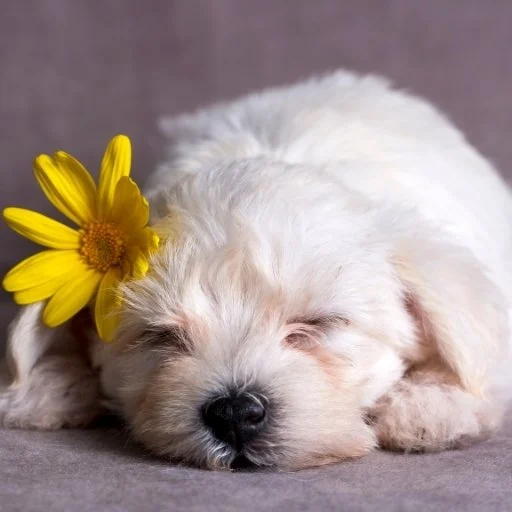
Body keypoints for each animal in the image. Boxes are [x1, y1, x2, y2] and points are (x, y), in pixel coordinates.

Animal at [1, 70, 512, 470]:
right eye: (159, 336)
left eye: (318, 325)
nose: (234, 413)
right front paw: (47, 385)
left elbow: (475, 366)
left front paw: (429, 406)